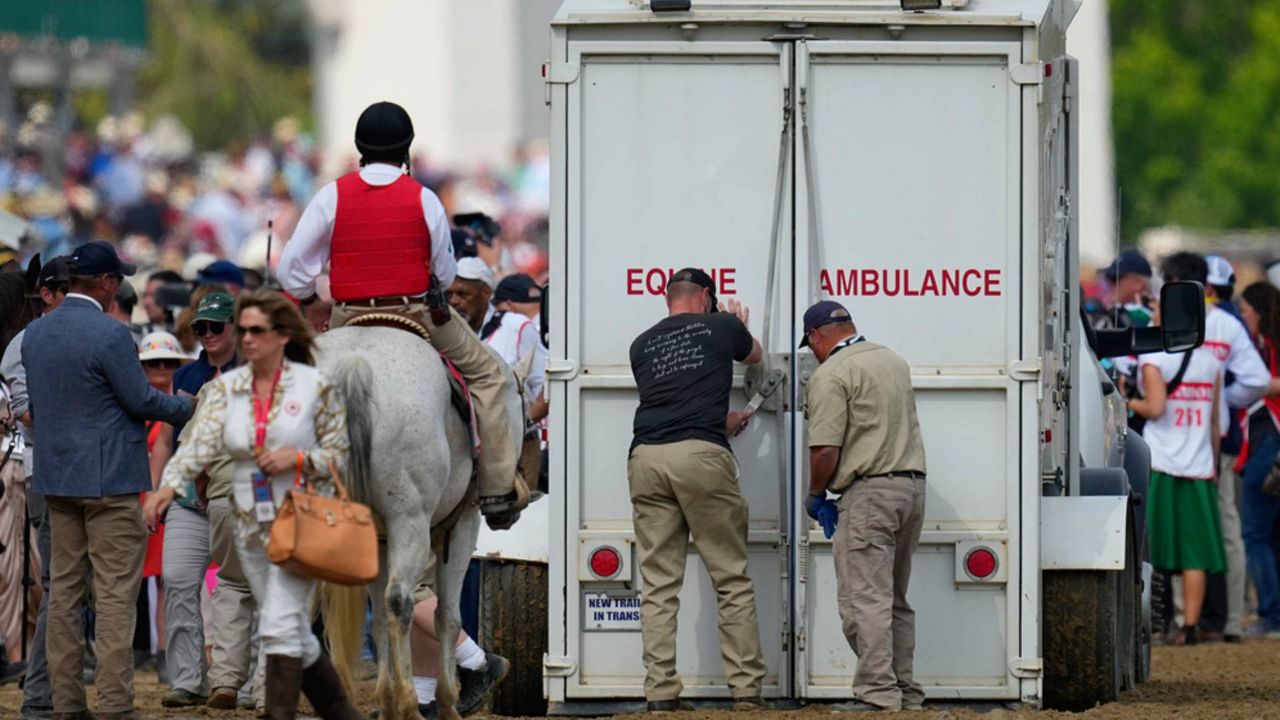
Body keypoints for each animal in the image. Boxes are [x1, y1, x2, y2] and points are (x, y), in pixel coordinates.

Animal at [317, 324, 522, 717]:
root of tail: (354, 364)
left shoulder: (380, 540)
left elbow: (381, 618)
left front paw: (385, 702)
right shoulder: (461, 525)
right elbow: (447, 614)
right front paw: (447, 702)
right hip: (410, 521)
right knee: (401, 600)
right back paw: (412, 704)